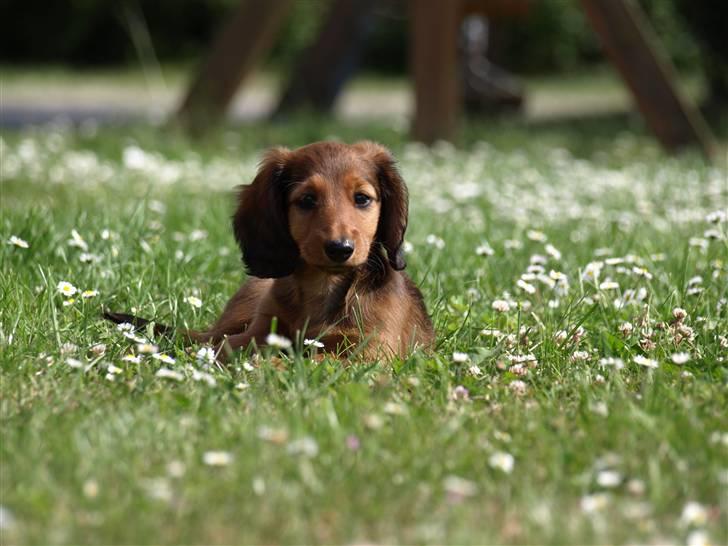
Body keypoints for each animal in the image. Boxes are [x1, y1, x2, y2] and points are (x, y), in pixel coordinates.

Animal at [106, 140, 436, 360]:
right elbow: (225, 349)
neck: (323, 287)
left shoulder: (370, 352)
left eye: (362, 199)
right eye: (307, 200)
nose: (340, 249)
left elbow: (313, 359)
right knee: (209, 339)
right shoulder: (259, 331)